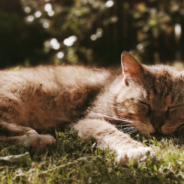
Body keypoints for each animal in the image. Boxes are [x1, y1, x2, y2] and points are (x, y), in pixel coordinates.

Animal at [0, 51, 183, 166]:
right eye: (144, 103)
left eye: (174, 107)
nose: (157, 125)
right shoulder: (89, 120)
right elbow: (111, 132)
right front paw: (135, 151)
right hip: (11, 99)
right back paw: (37, 138)